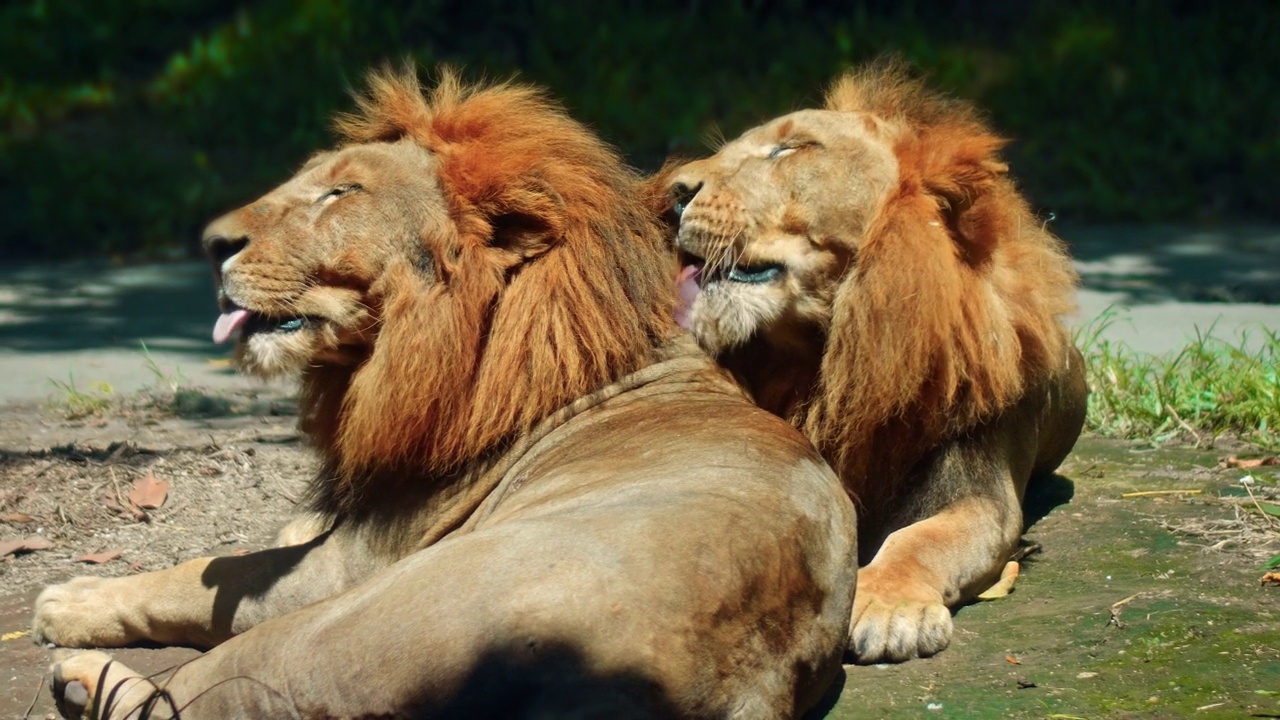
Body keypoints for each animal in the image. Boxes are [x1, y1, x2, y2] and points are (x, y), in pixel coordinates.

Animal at [32, 67, 860, 717]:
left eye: (340, 193)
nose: (210, 245)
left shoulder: (340, 568)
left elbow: (207, 574)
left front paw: (70, 601)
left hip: (328, 631)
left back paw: (79, 675)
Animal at [660, 61, 1090, 661]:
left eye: (791, 148)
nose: (668, 194)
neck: (826, 349)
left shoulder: (978, 491)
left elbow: (920, 539)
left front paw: (886, 608)